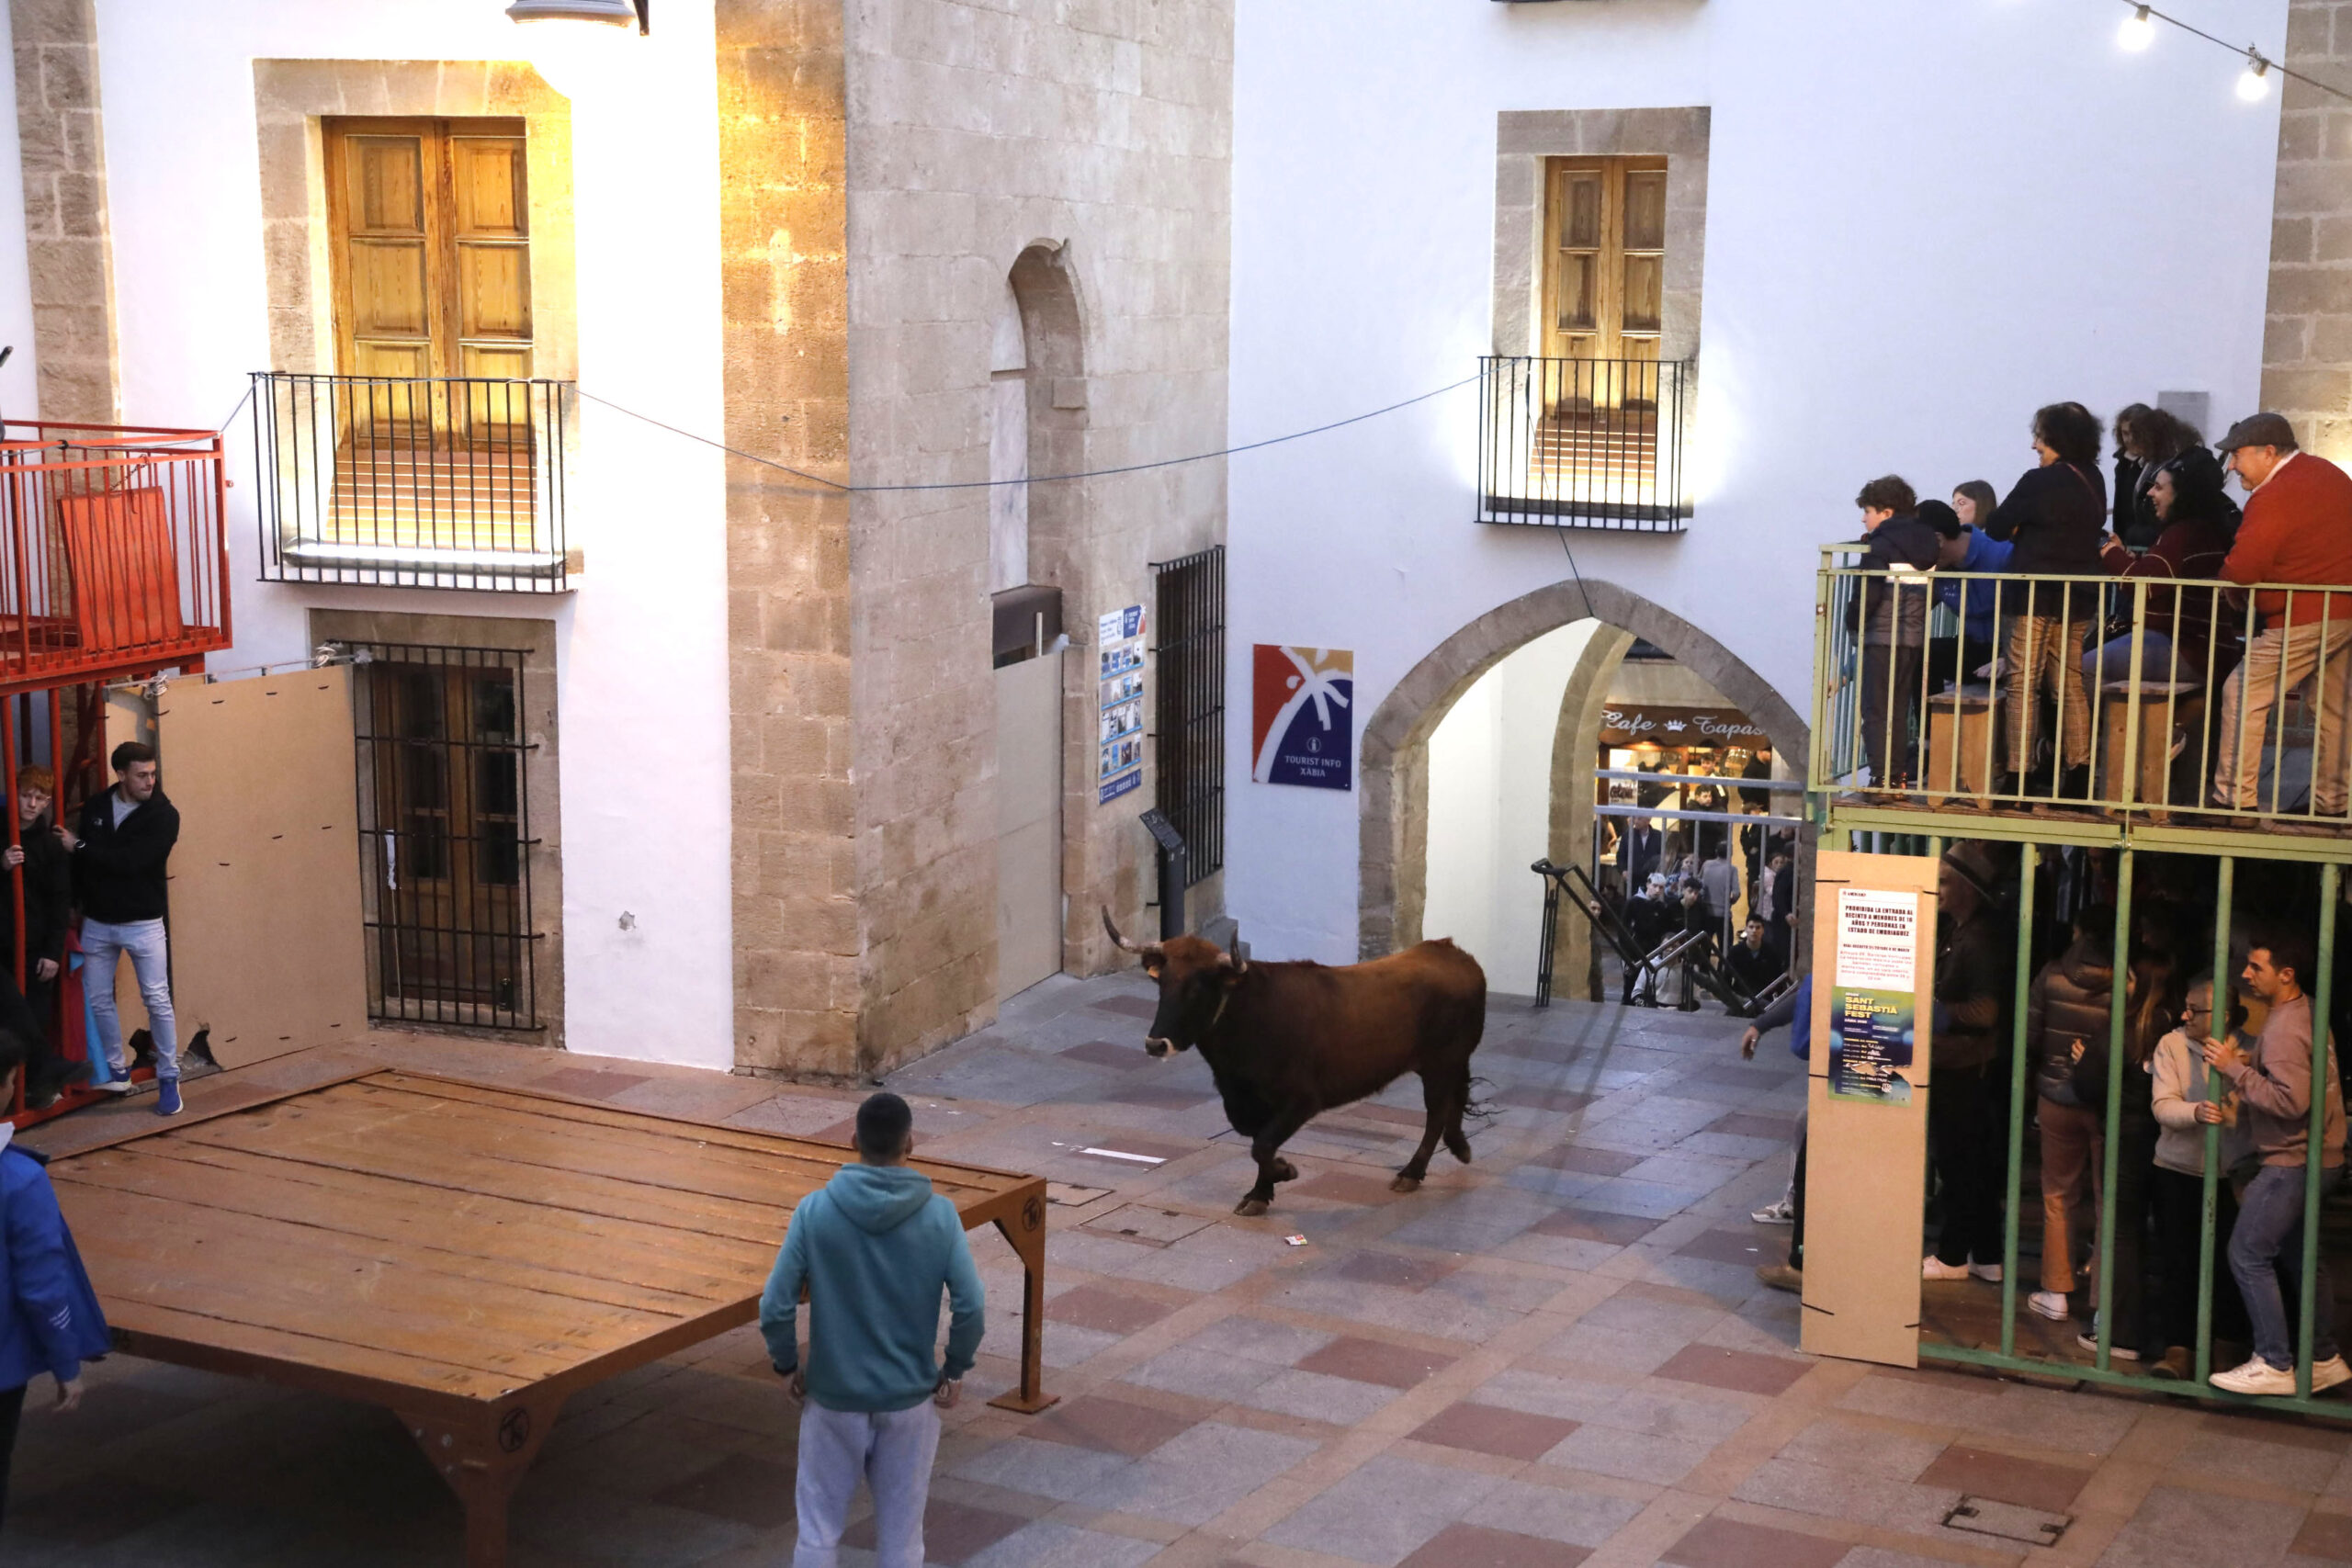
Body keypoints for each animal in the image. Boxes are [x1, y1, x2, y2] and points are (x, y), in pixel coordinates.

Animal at [1105, 907, 1486, 1222]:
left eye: (1198, 989)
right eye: (1162, 985)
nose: (1156, 1044)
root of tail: (1454, 953)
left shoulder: (1302, 1100)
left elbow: (1262, 1145)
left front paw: (1283, 1172)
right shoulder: (1244, 1103)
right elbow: (1258, 1140)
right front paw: (1261, 1193)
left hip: (1440, 1063)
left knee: (1436, 1113)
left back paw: (1411, 1172)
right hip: (1448, 1063)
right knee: (1455, 1099)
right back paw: (1460, 1147)